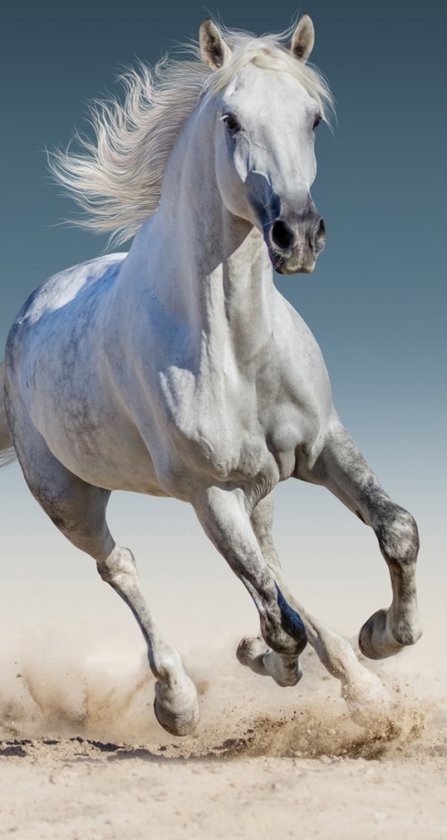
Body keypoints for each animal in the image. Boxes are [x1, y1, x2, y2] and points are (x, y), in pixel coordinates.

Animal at [0, 17, 421, 736]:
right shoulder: (210, 491)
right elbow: (279, 618)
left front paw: (382, 637)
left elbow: (395, 530)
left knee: (272, 564)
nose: (296, 235)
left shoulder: (322, 445)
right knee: (122, 566)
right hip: (68, 498)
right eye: (231, 119)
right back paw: (178, 700)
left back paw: (358, 682)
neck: (236, 345)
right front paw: (273, 658)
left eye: (312, 118)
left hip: (260, 485)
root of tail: (30, 311)